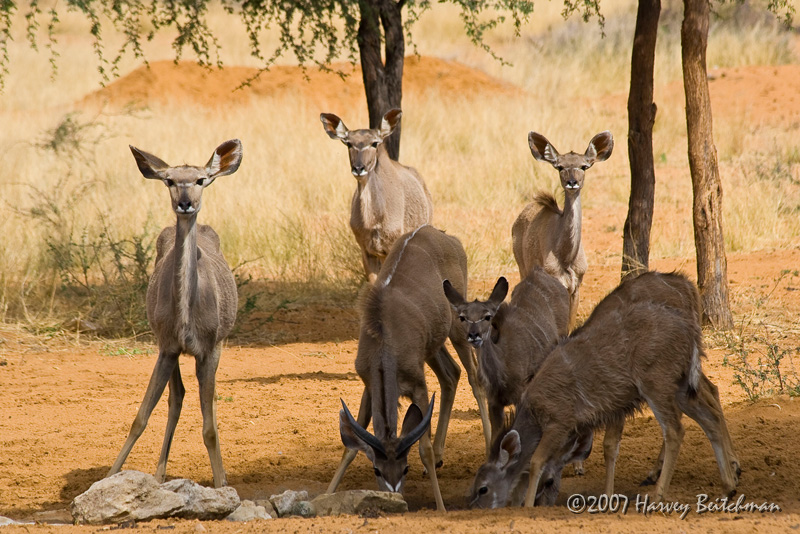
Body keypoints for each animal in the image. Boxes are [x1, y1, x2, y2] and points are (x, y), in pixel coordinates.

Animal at [107, 139, 244, 490]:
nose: (185, 203)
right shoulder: (167, 346)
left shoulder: (208, 349)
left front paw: (221, 484)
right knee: (177, 397)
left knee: (202, 402)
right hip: (167, 347)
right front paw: (109, 475)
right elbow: (140, 417)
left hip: (216, 345)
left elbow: (209, 428)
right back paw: (158, 475)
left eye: (200, 179)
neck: (186, 318)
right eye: (169, 180)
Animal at [318, 109, 434, 284]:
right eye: (348, 143)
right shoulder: (367, 251)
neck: (373, 221)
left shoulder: (390, 248)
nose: (359, 168)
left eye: (374, 143)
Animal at [324, 224, 488, 512]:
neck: (383, 340)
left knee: (474, 378)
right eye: (377, 470)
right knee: (451, 374)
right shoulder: (369, 384)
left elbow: (424, 449)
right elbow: (350, 448)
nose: (394, 495)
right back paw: (442, 456)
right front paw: (325, 495)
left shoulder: (418, 385)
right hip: (432, 346)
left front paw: (441, 508)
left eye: (405, 469)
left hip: (459, 329)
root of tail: (445, 236)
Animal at [472, 274, 740, 508]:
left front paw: (527, 507)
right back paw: (728, 485)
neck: (533, 405)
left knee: (675, 430)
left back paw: (657, 495)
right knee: (710, 413)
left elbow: (538, 460)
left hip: (657, 386)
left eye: (483, 488)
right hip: (681, 387)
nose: (476, 507)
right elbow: (608, 448)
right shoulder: (608, 413)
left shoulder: (560, 422)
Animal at [512, 132, 612, 328]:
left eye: (584, 166)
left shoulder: (576, 288)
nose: (572, 183)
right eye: (560, 167)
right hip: (523, 269)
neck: (566, 257)